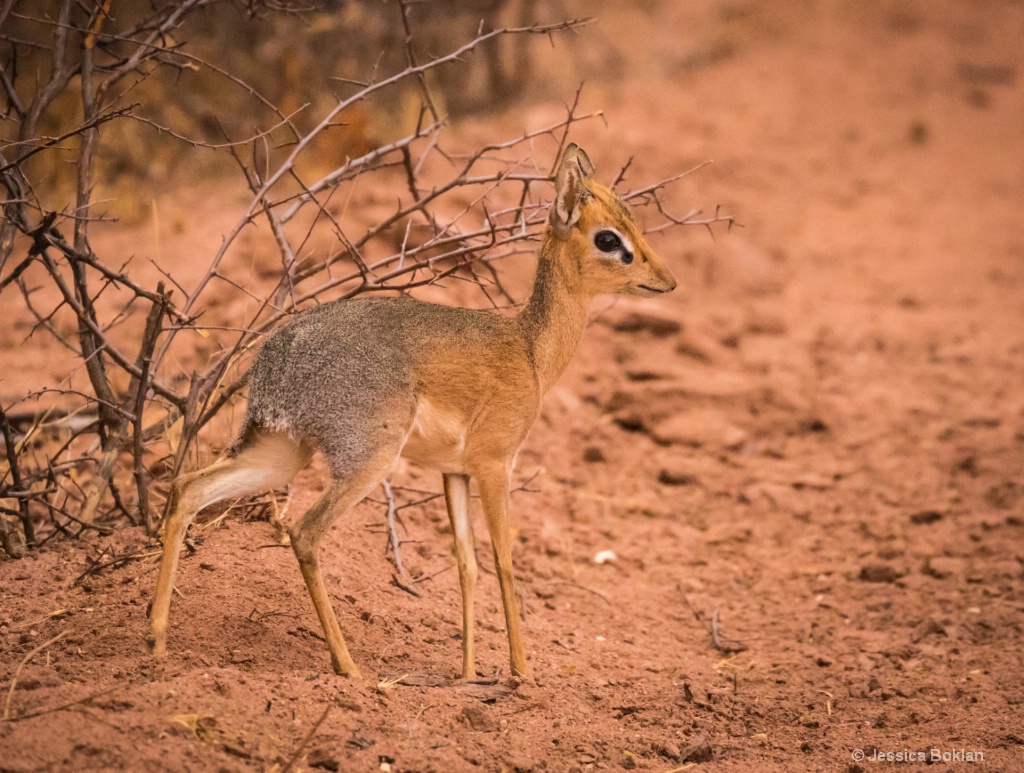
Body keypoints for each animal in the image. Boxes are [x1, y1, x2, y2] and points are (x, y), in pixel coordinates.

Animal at [148, 143, 675, 675]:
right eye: (608, 238)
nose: (667, 280)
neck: (530, 350)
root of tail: (277, 357)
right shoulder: (495, 465)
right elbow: (504, 561)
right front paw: (521, 673)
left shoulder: (454, 472)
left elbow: (467, 565)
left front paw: (468, 673)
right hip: (367, 460)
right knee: (304, 532)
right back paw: (348, 666)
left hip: (281, 454)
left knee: (189, 489)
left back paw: (156, 639)